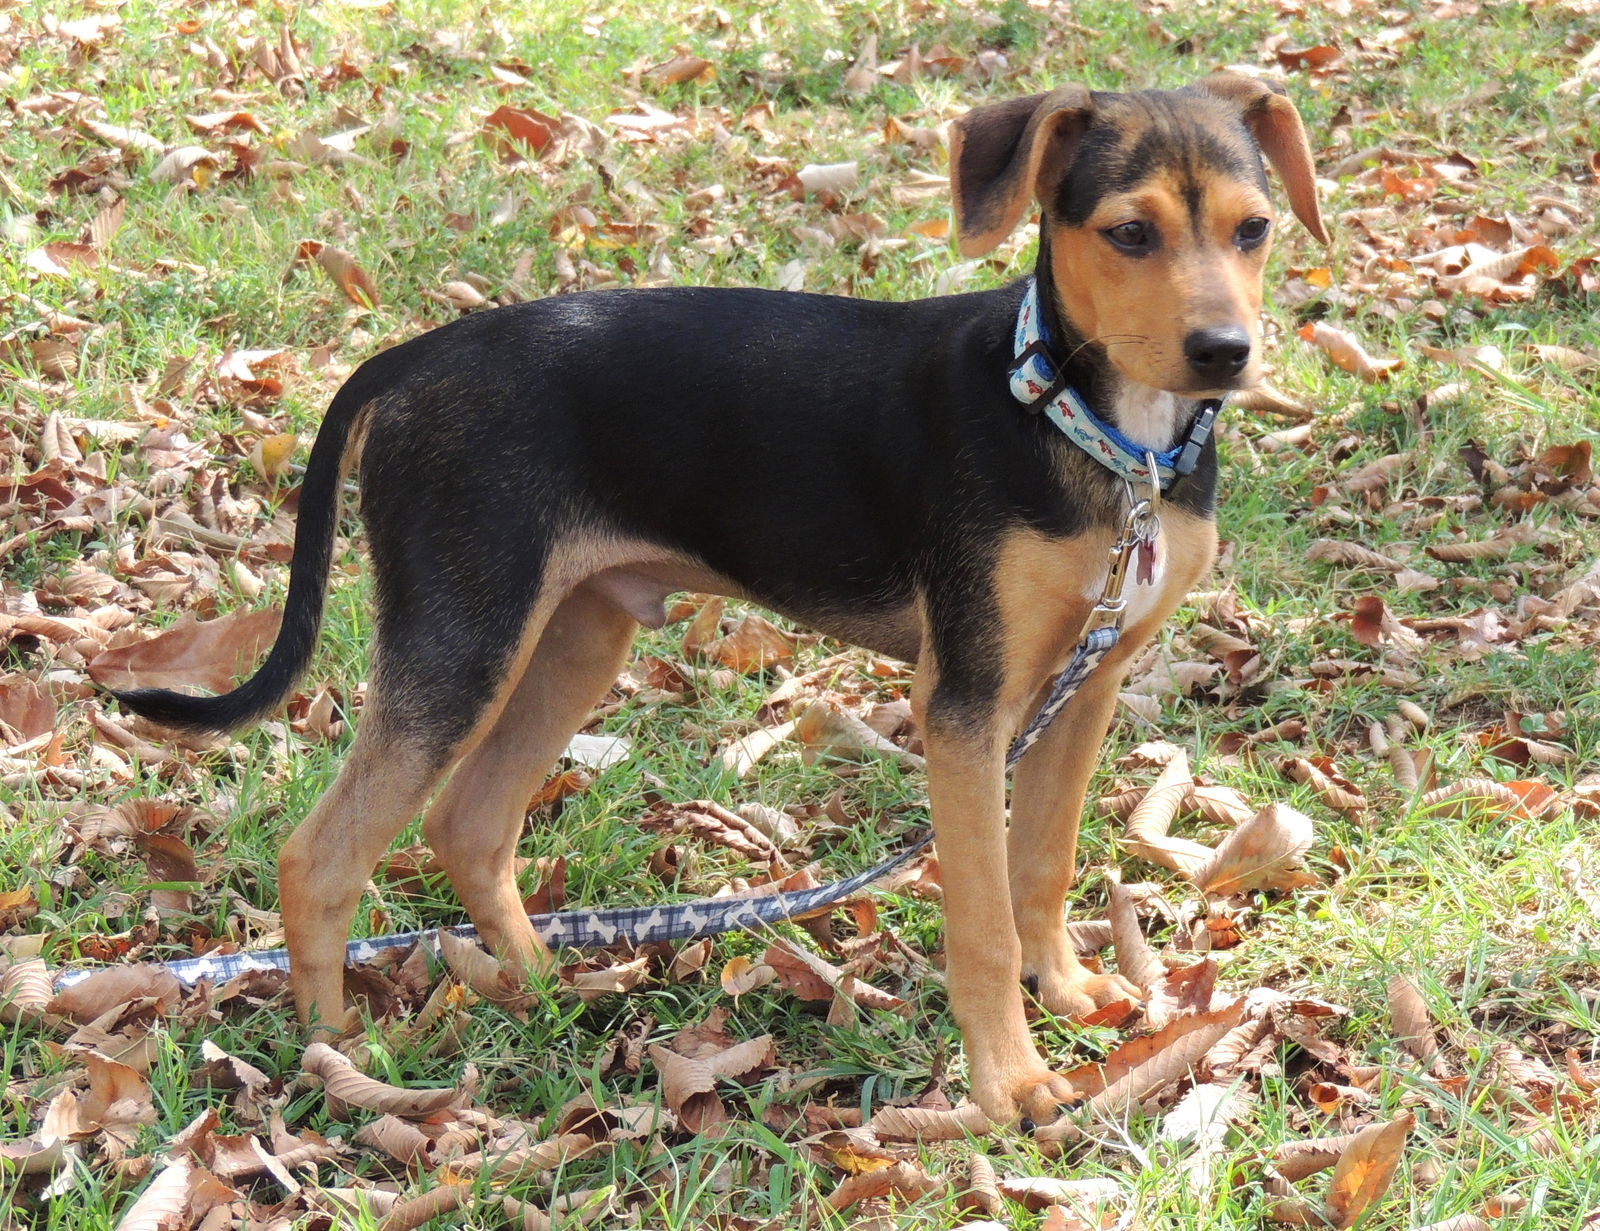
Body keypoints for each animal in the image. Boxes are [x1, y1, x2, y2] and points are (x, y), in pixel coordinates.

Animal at [116, 72, 1324, 1126]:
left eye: (1254, 230)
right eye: (1129, 234)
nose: (1226, 352)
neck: (1092, 431)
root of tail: (412, 358)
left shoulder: (1087, 681)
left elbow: (1044, 863)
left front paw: (1069, 994)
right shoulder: (965, 705)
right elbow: (978, 913)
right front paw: (1012, 1084)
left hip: (576, 633)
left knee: (469, 823)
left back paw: (544, 979)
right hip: (463, 637)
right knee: (320, 855)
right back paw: (336, 1054)